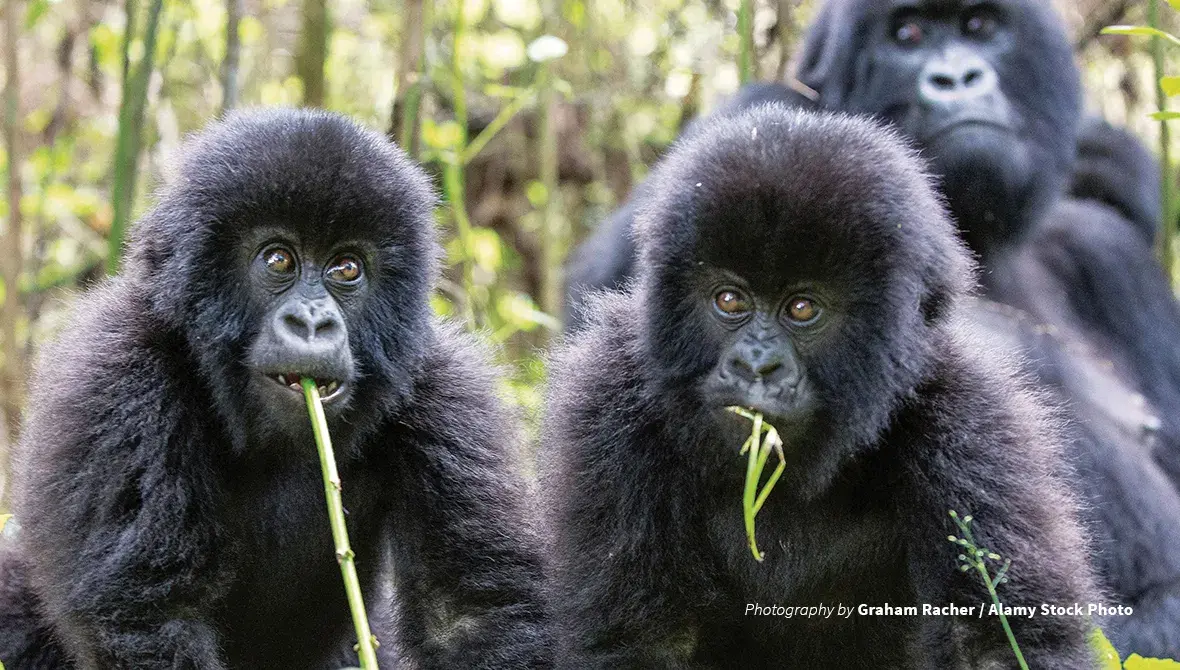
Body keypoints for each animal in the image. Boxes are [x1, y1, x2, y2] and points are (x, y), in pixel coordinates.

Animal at [0, 107, 547, 665]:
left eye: (346, 268)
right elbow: (153, 616)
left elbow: (472, 617)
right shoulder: (118, 378)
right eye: (279, 260)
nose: (312, 323)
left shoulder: (444, 390)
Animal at [540, 107, 1095, 665]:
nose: (756, 367)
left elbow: (995, 645)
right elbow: (640, 640)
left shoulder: (973, 425)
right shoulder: (609, 398)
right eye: (730, 300)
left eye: (802, 309)